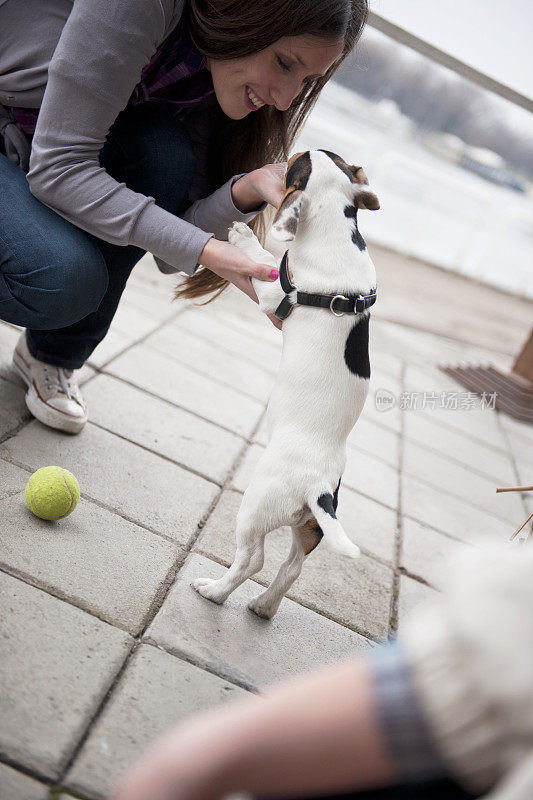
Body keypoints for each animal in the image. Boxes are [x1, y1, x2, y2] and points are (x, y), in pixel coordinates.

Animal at [193, 152, 380, 620]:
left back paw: (214, 592)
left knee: (252, 559)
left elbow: (263, 257)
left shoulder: (272, 291)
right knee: (291, 567)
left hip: (256, 505)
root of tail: (319, 489)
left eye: (298, 160)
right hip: (310, 528)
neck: (335, 227)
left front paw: (243, 234)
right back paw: (263, 606)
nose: (281, 160)